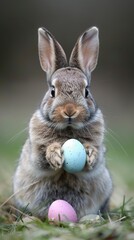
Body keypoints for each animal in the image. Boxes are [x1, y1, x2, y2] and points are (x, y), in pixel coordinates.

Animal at [13, 26, 112, 219]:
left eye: (86, 91)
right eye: (53, 91)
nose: (70, 110)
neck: (69, 130)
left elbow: (93, 161)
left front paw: (90, 153)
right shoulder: (35, 151)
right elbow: (42, 157)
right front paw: (55, 153)